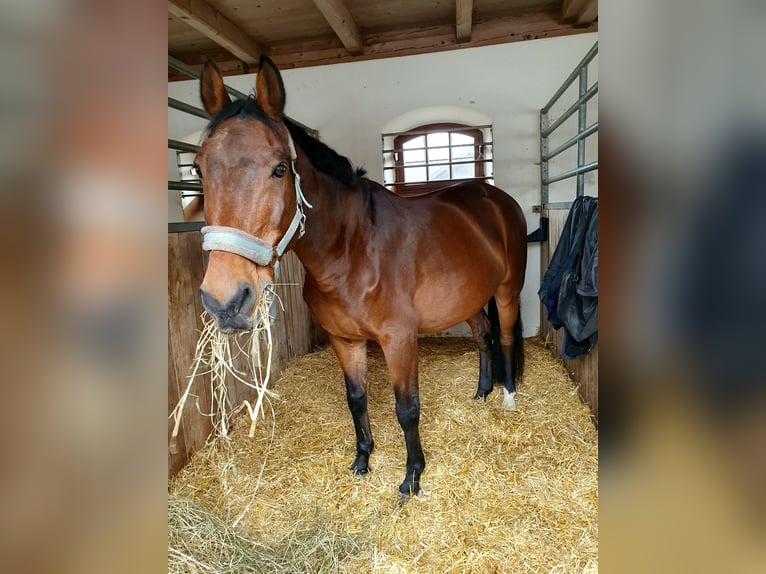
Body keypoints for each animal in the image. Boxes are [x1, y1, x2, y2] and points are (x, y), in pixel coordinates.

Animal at [195, 57, 528, 500]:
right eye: (198, 169)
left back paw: (507, 398)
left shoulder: (399, 340)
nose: (226, 301)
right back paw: (481, 393)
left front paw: (411, 478)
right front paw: (362, 461)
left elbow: (407, 408)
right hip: (468, 299)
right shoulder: (344, 340)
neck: (352, 251)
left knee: (504, 335)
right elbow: (356, 399)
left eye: (279, 169)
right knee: (484, 335)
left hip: (508, 290)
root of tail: (497, 199)